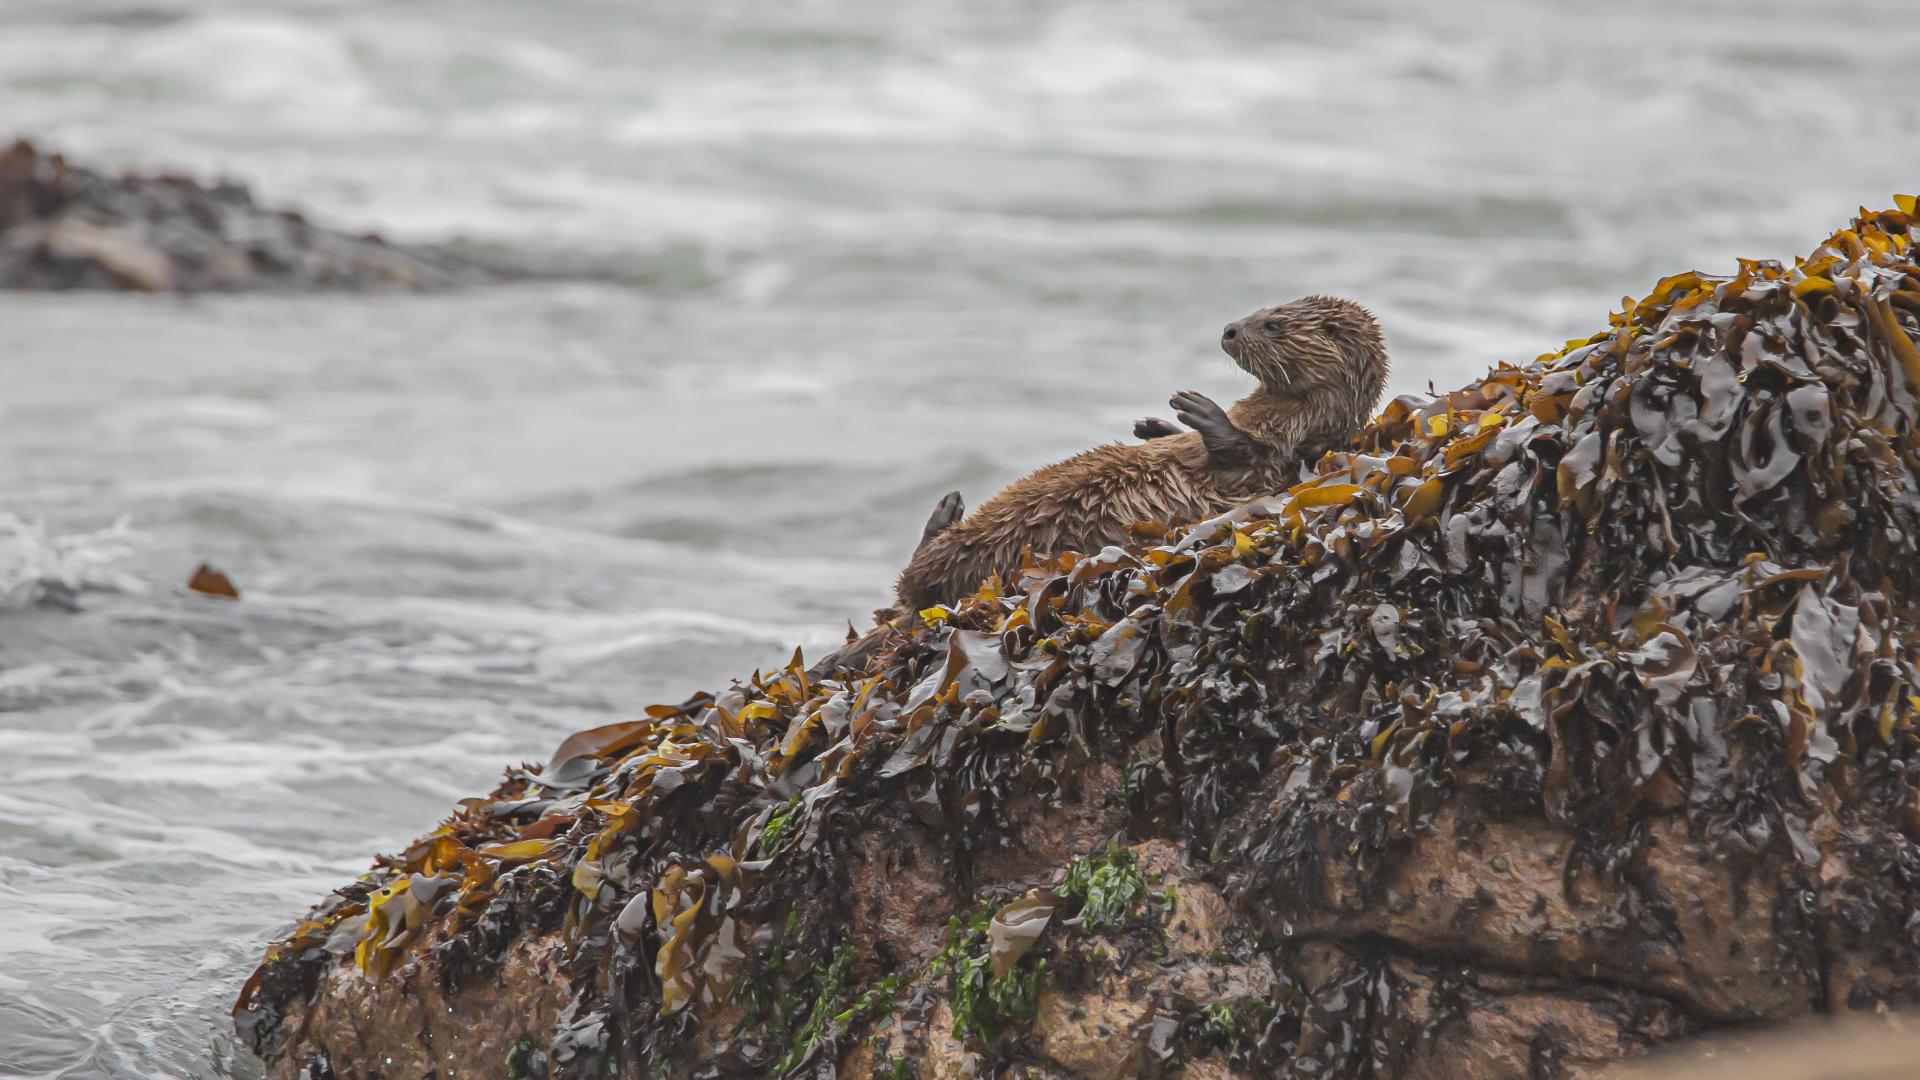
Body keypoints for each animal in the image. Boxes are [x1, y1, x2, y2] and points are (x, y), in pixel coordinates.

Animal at [890, 294, 1390, 611]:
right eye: (1262, 309)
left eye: (1273, 325)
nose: (1230, 329)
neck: (1269, 416)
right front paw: (1154, 426)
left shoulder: (1280, 466)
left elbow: (1249, 458)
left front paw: (1199, 409)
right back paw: (946, 510)